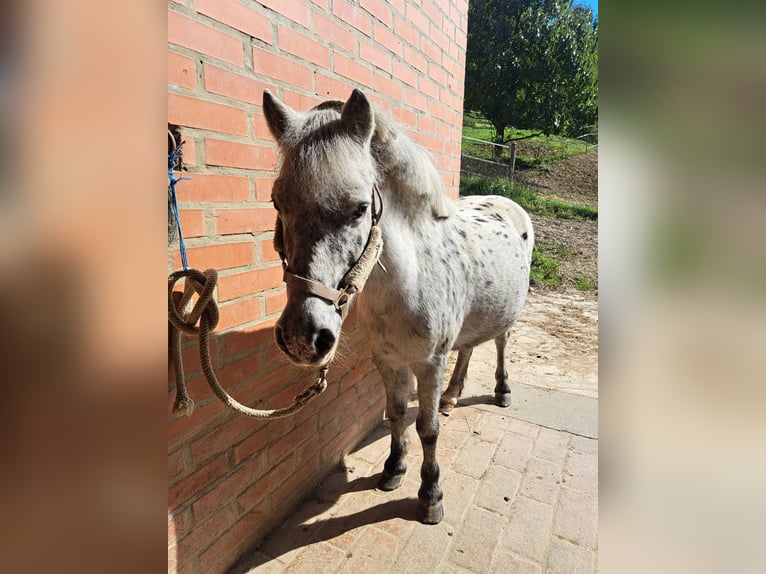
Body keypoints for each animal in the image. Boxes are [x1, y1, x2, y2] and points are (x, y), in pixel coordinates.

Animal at [262, 89, 534, 524]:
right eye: (277, 202)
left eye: (360, 208)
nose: (304, 337)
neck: (408, 284)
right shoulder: (387, 360)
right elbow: (397, 414)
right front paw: (393, 469)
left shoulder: (429, 363)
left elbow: (427, 428)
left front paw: (430, 494)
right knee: (468, 347)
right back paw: (453, 395)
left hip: (505, 319)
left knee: (500, 343)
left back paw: (502, 390)